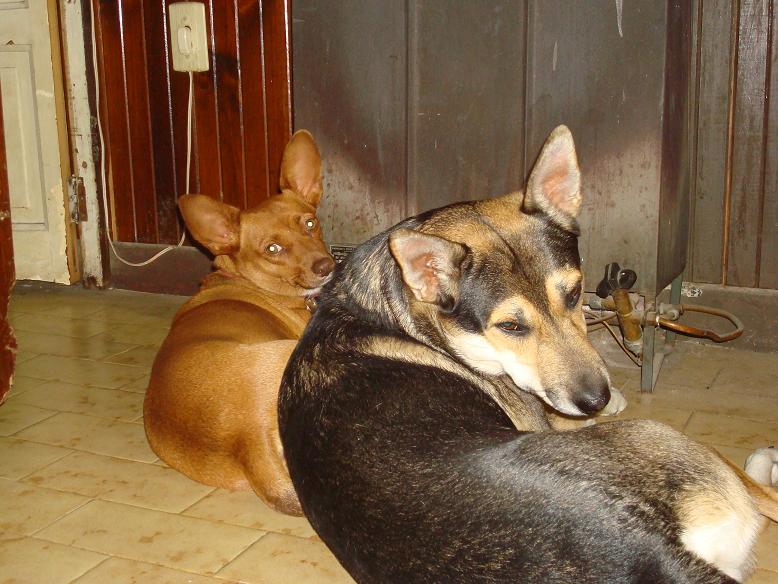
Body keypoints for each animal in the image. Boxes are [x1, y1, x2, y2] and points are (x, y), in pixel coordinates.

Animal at [280, 125, 776, 580]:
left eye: (575, 294)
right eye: (511, 327)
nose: (595, 399)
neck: (401, 307)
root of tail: (648, 554)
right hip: (664, 437)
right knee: (762, 491)